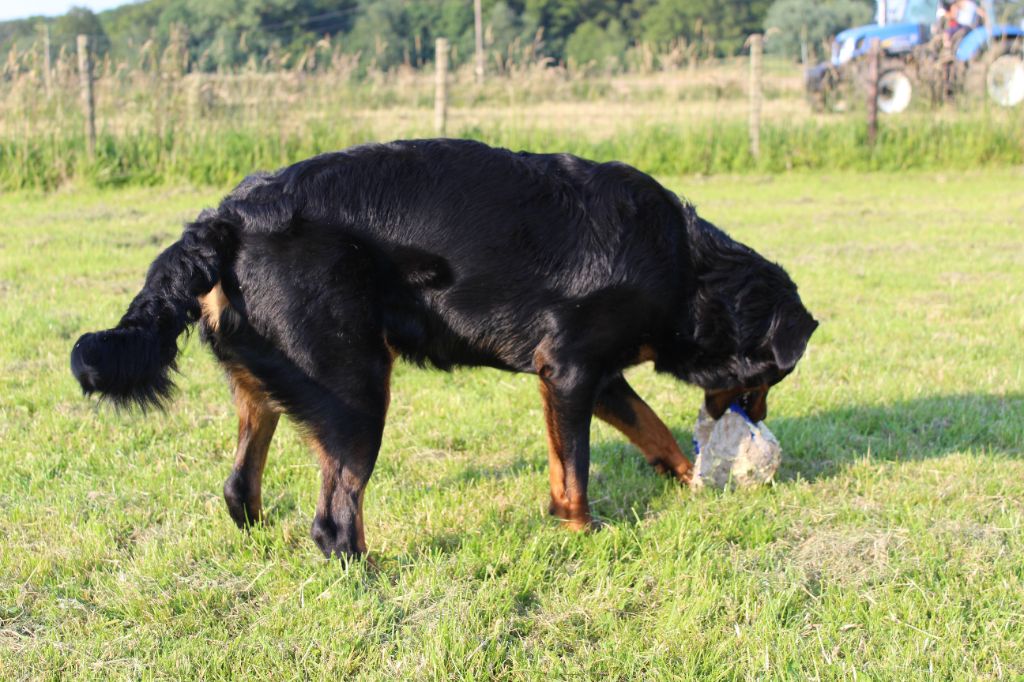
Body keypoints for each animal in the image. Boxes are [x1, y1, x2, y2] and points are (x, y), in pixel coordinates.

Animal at [72, 139, 815, 557]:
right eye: (772, 380)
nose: (759, 421)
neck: (690, 271)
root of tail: (225, 219)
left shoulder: (594, 376)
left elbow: (650, 429)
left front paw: (691, 479)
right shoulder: (570, 370)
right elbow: (573, 469)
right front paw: (583, 533)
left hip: (270, 390)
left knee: (238, 487)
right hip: (357, 390)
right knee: (334, 520)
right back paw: (368, 577)